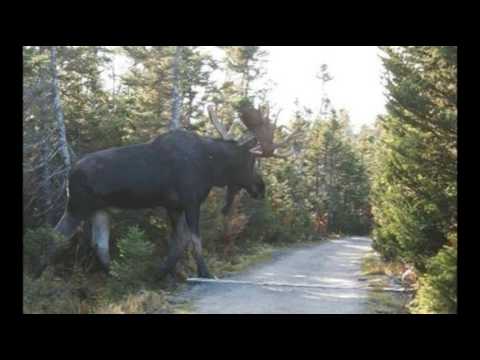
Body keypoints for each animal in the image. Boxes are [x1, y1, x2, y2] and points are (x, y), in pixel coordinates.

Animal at [50, 101, 302, 278]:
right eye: (251, 161)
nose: (261, 187)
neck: (211, 166)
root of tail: (69, 173)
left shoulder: (173, 206)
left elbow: (179, 242)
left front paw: (164, 272)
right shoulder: (190, 202)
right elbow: (194, 240)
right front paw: (204, 272)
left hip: (101, 210)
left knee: (99, 245)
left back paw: (117, 277)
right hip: (78, 206)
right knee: (56, 237)